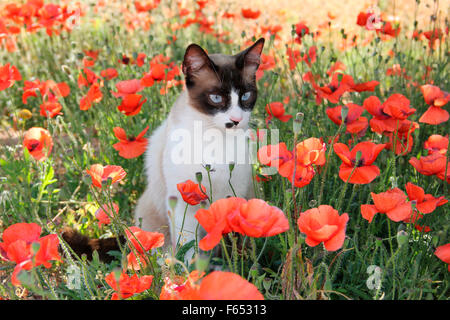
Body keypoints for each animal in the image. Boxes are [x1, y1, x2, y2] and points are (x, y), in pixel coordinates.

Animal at [60, 37, 264, 262]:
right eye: (216, 98)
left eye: (245, 96)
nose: (236, 120)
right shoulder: (184, 205)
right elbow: (189, 247)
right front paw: (194, 271)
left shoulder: (235, 196)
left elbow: (233, 242)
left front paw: (236, 267)